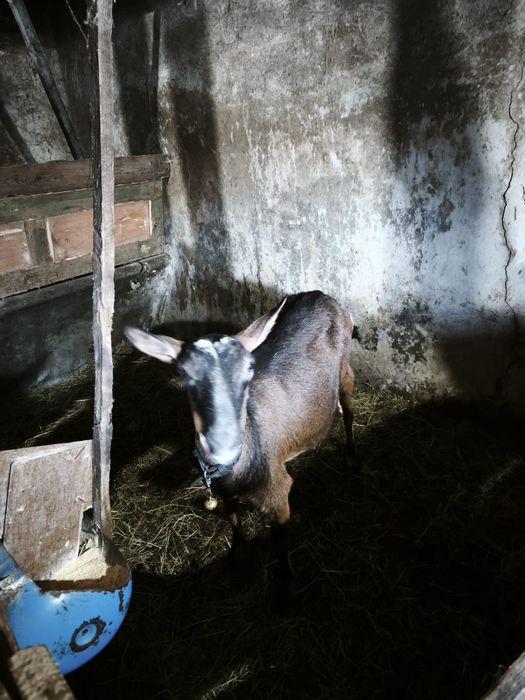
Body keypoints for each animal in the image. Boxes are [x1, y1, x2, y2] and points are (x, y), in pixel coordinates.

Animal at [124, 290, 356, 598]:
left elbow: (280, 542)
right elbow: (233, 520)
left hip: (346, 368)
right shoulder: (225, 489)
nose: (222, 441)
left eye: (249, 370)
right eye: (185, 375)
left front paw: (286, 585)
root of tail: (319, 294)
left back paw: (351, 456)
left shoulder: (277, 491)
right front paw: (235, 555)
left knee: (349, 411)